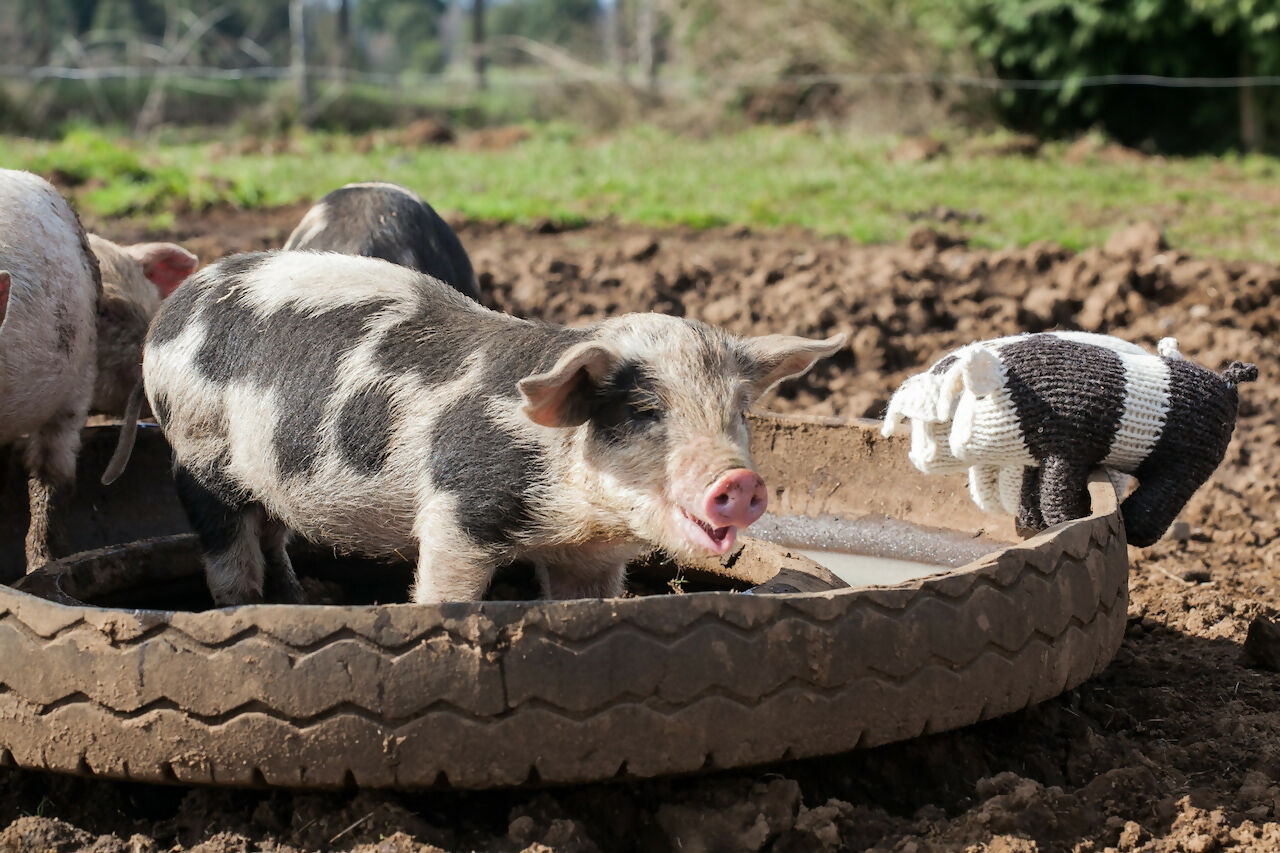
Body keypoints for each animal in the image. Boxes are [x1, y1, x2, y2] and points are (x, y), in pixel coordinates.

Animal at [145, 249, 844, 601]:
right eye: (645, 411)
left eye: (739, 412)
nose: (740, 482)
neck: (576, 519)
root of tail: (182, 298)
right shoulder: (458, 512)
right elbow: (444, 593)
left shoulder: (590, 557)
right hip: (197, 445)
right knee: (226, 545)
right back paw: (248, 608)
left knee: (271, 528)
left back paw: (299, 600)